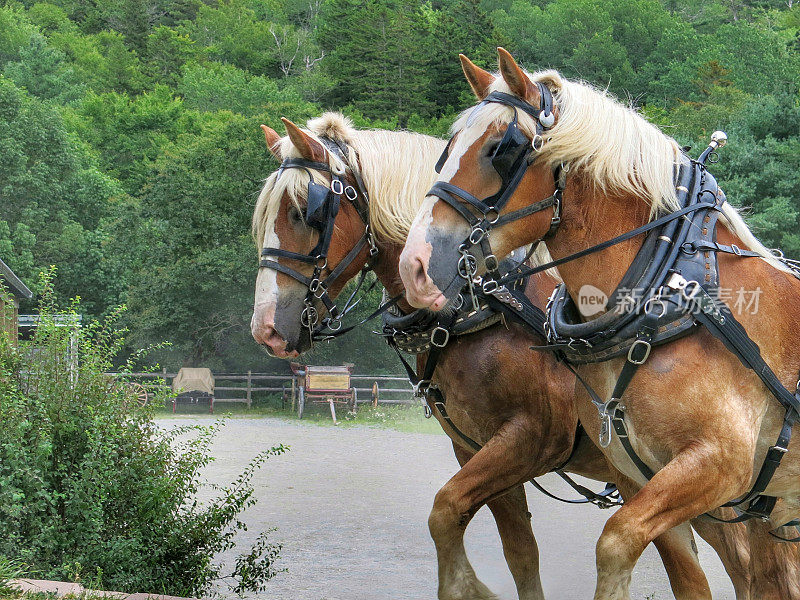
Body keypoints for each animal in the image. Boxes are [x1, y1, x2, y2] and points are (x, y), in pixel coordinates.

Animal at [248, 111, 752, 596]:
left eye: (304, 212)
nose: (266, 328)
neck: (478, 303)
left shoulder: (531, 437)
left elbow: (445, 507)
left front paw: (469, 587)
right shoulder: (477, 448)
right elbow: (519, 553)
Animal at [400, 48, 800, 600]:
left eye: (501, 148)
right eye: (446, 150)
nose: (415, 264)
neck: (666, 294)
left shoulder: (718, 465)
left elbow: (613, 543)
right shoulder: (639, 478)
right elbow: (676, 574)